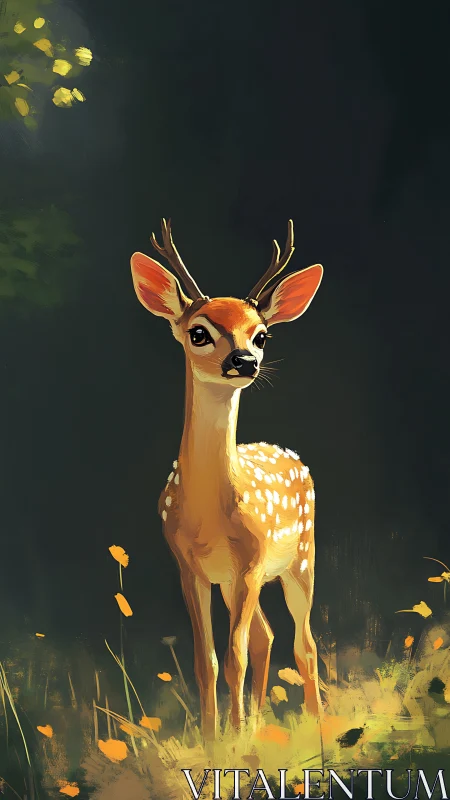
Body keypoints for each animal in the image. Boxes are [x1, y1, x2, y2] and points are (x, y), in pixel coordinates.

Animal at [130, 219, 324, 739]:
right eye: (198, 332)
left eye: (262, 336)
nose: (244, 362)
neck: (209, 517)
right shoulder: (189, 568)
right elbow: (208, 662)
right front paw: (215, 740)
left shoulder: (251, 565)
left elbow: (234, 658)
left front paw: (234, 742)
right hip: (243, 579)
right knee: (267, 636)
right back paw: (257, 725)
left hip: (299, 559)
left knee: (304, 644)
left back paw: (318, 730)